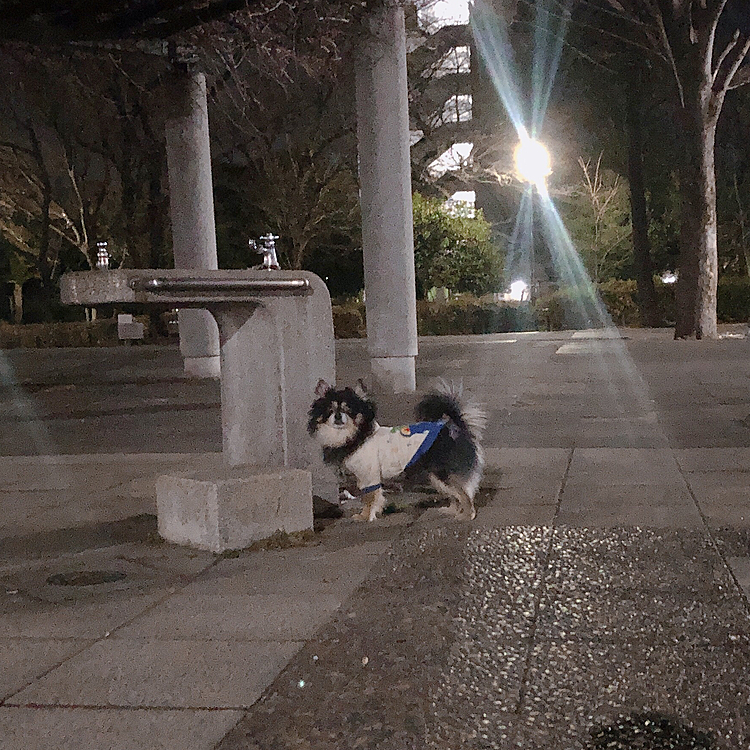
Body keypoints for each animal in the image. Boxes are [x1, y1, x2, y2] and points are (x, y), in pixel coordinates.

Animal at [306, 382, 488, 524]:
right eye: (330, 410)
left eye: (348, 410)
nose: (338, 416)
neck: (354, 435)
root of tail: (457, 427)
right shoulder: (363, 478)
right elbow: (368, 498)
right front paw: (366, 515)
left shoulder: (369, 476)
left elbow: (369, 498)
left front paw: (367, 517)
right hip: (436, 477)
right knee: (455, 495)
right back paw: (452, 511)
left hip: (443, 473)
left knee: (464, 494)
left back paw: (467, 515)